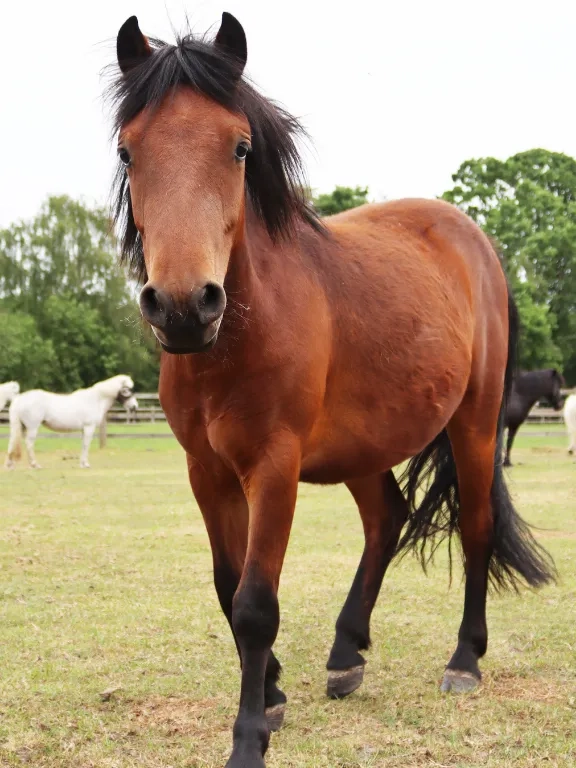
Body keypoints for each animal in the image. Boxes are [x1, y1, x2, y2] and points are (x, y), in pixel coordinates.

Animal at [5, 375, 134, 470]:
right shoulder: (89, 427)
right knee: (29, 443)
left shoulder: (84, 429)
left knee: (12, 442)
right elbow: (86, 445)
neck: (96, 399)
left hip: (21, 426)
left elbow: (83, 445)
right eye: (127, 390)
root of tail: (19, 399)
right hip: (32, 427)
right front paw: (85, 464)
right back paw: (35, 465)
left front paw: (82, 463)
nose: (134, 407)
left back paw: (10, 465)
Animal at [108, 14, 554, 766]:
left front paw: (249, 735)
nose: (183, 307)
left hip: (473, 424)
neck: (238, 336)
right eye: (128, 151)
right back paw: (347, 653)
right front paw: (274, 692)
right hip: (363, 445)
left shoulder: (274, 466)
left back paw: (464, 660)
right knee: (387, 518)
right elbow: (228, 588)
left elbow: (255, 603)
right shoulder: (207, 472)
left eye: (239, 147)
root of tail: (477, 243)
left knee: (475, 527)